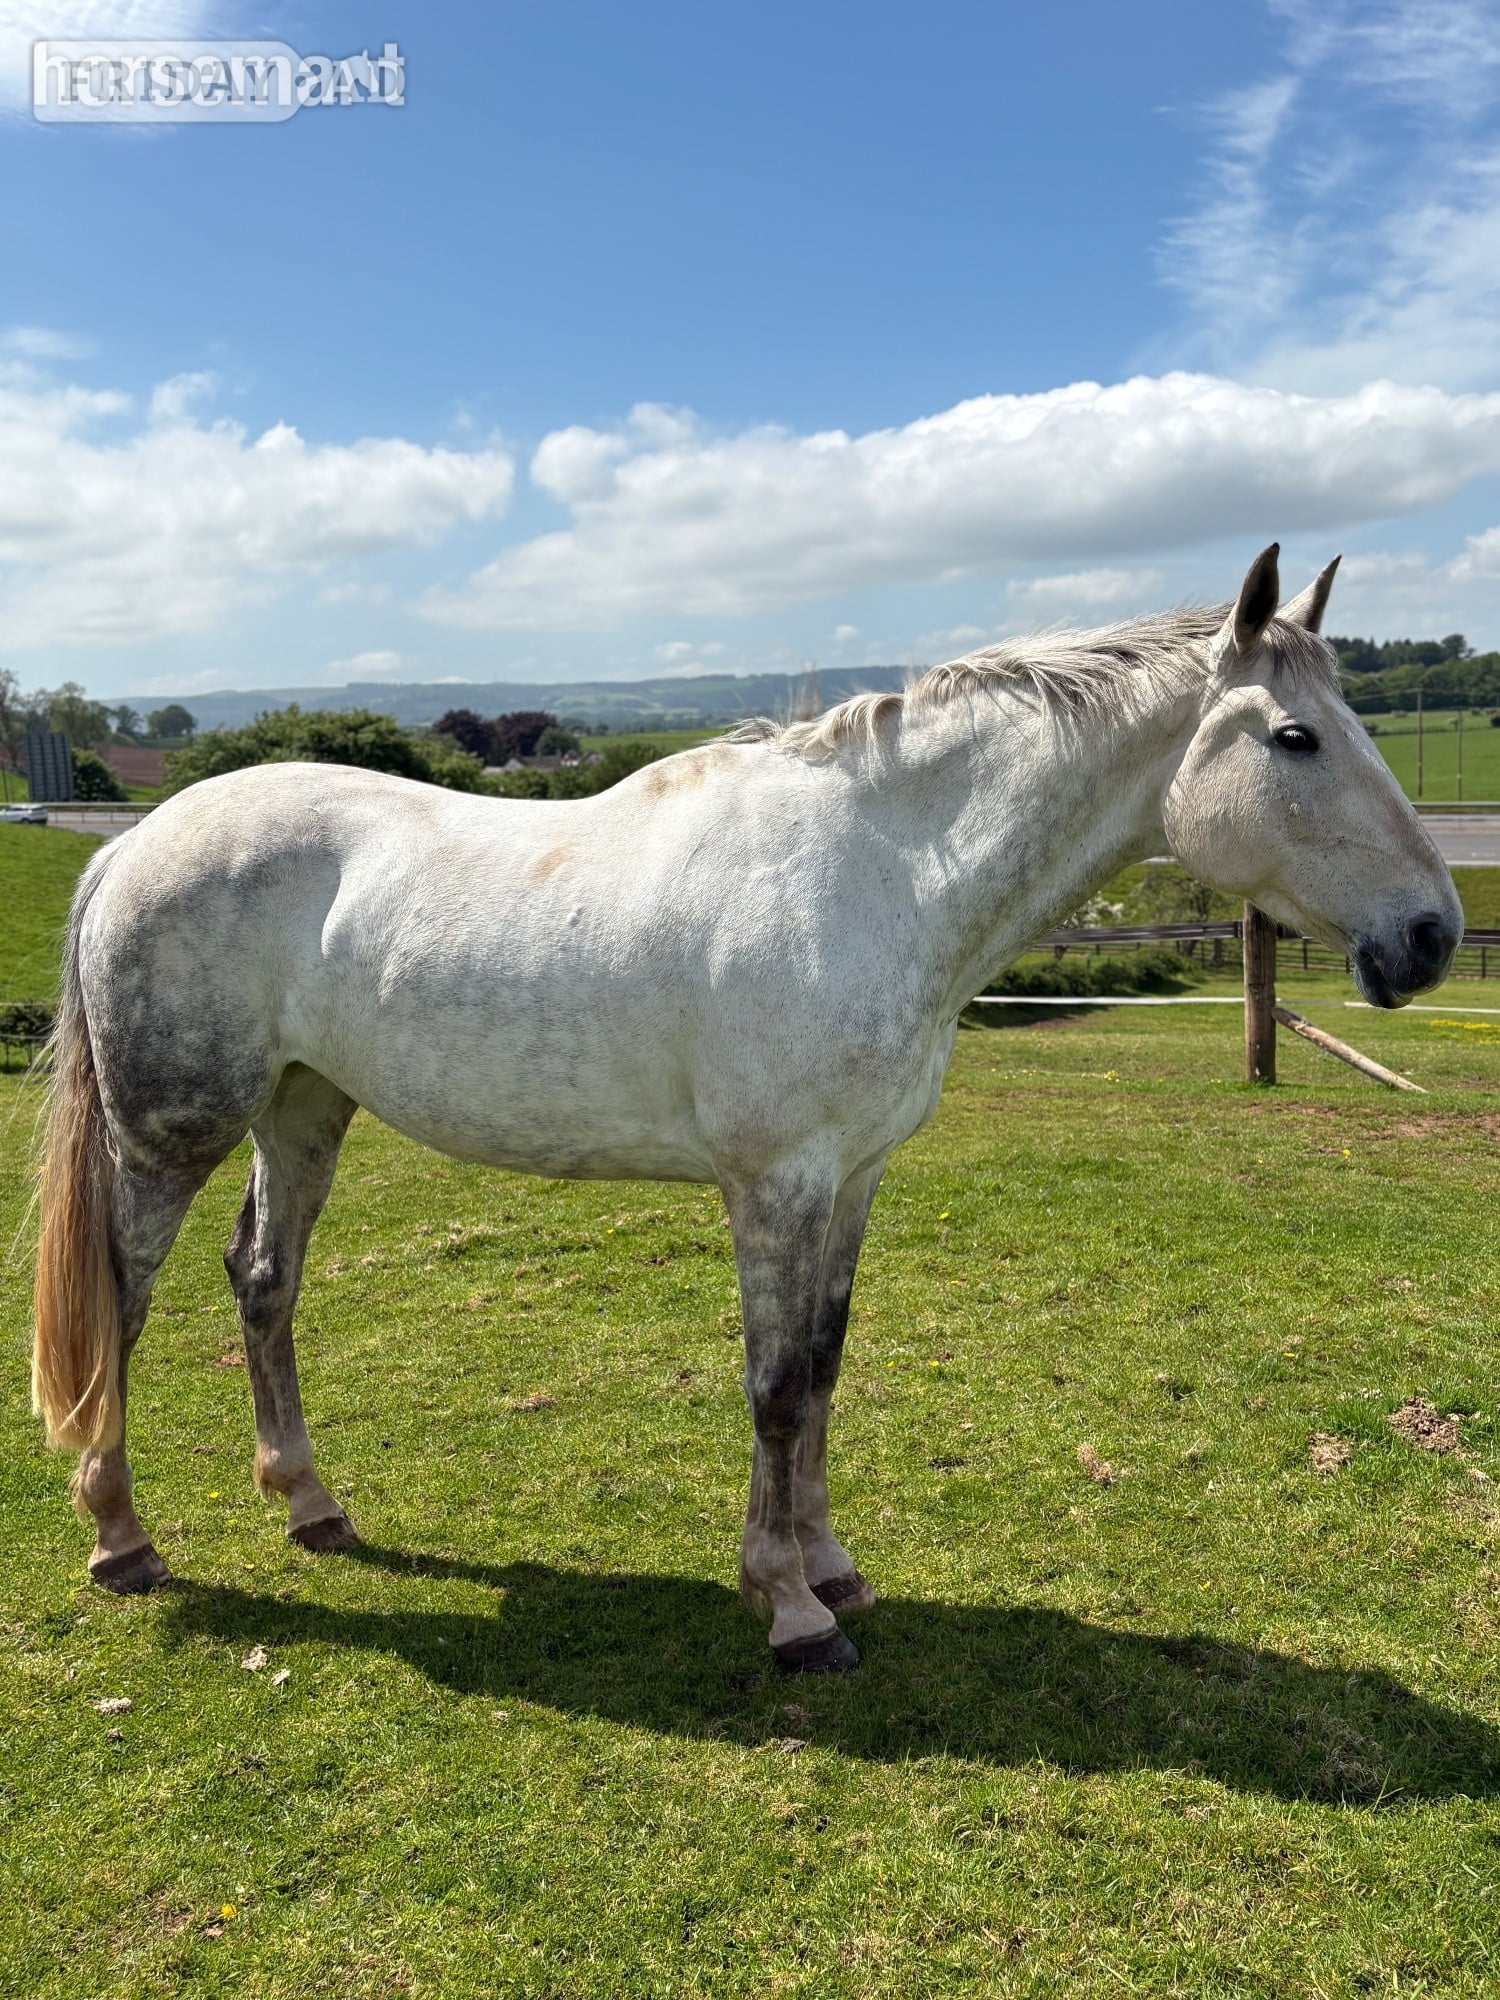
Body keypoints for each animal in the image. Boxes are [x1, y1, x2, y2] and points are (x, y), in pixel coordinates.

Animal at [32, 545, 1460, 1671]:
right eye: (1294, 737)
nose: (1431, 935)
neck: (881, 870)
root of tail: (133, 840)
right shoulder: (775, 1182)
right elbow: (774, 1385)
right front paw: (788, 1608)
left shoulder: (855, 1175)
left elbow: (824, 1368)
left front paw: (831, 1565)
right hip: (168, 1136)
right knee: (123, 1302)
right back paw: (122, 1536)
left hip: (303, 1110)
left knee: (263, 1282)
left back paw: (311, 1505)